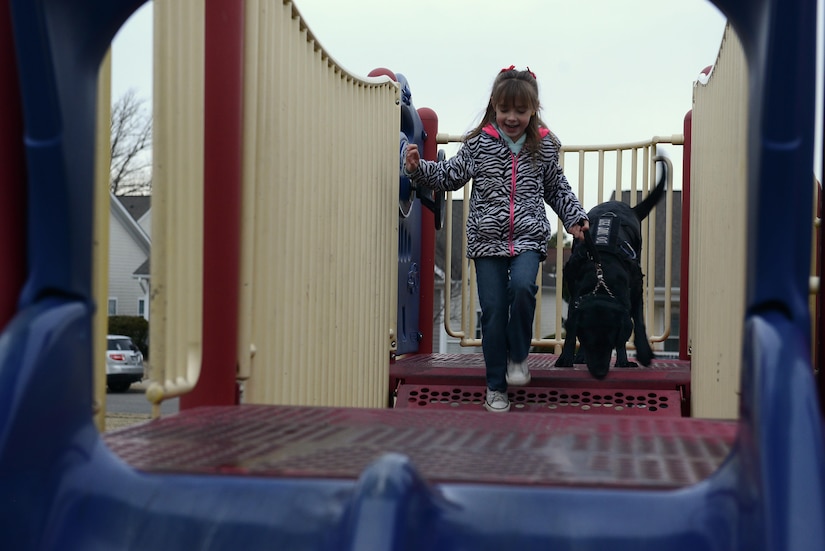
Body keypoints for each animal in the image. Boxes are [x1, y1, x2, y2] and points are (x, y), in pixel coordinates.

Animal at [552, 160, 668, 380]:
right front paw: (567, 357)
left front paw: (642, 353)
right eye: (588, 340)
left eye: (610, 342)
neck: (602, 278)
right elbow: (571, 328)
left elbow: (637, 322)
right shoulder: (574, 291)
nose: (599, 373)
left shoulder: (636, 287)